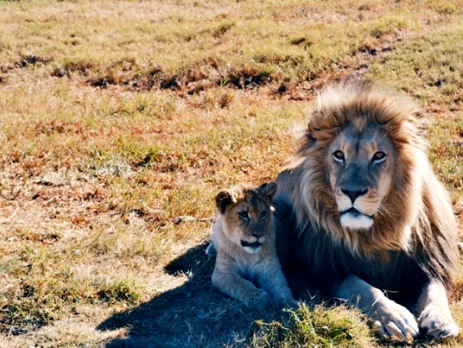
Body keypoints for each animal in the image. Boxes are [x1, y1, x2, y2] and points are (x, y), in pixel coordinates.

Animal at [278, 79, 462, 342]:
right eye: (339, 155)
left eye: (378, 156)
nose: (352, 192)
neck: (377, 232)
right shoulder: (325, 268)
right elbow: (361, 287)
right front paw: (395, 318)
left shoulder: (429, 261)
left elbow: (434, 290)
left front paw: (441, 321)